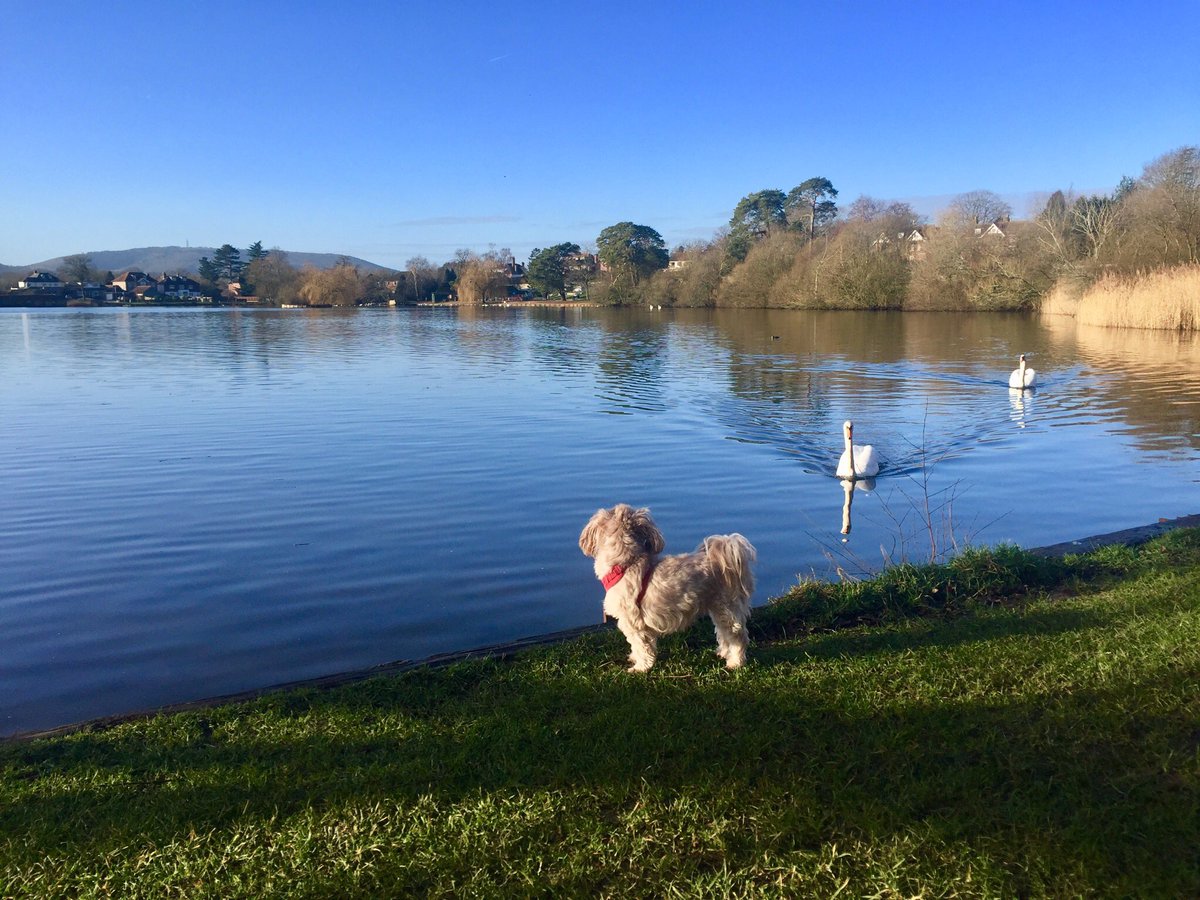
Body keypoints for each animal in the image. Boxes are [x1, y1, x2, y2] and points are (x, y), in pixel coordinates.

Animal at [576, 504, 753, 672]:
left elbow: (641, 646)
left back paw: (735, 663)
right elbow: (638, 646)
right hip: (717, 607)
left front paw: (641, 668)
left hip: (726, 606)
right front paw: (634, 658)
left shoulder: (633, 622)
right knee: (724, 633)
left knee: (737, 636)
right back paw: (723, 652)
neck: (626, 564)